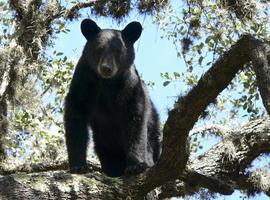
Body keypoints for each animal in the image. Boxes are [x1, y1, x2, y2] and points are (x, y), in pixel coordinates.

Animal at [64, 19, 161, 177]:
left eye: (118, 51)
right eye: (99, 49)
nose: (106, 68)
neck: (106, 84)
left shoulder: (130, 87)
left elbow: (134, 120)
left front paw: (136, 165)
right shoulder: (83, 84)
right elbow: (75, 119)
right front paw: (78, 166)